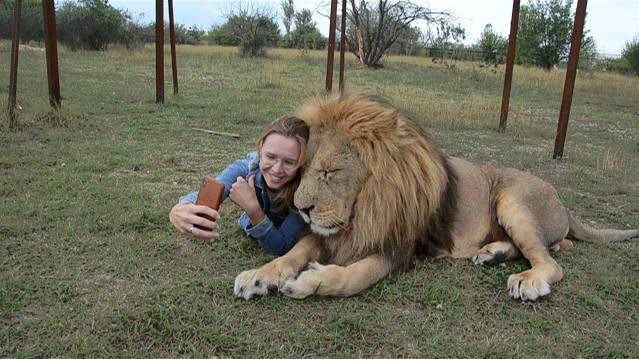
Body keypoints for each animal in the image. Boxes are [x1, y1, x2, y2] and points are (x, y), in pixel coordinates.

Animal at [235, 95, 639, 300]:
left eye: (331, 172)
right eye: (302, 169)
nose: (302, 209)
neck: (366, 207)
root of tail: (566, 208)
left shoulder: (397, 247)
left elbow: (350, 278)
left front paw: (305, 283)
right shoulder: (334, 234)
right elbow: (292, 253)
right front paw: (259, 276)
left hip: (513, 199)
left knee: (550, 261)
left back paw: (528, 281)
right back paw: (491, 254)